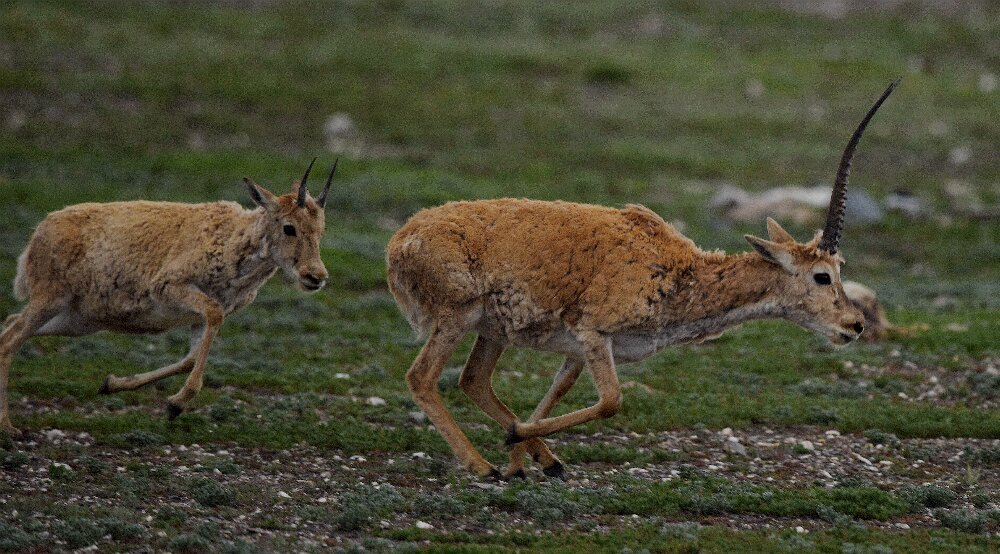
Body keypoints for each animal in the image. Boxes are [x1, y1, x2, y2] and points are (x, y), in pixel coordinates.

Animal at [0, 157, 340, 434]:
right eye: (289, 227)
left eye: (321, 230)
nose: (316, 277)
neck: (231, 240)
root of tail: (38, 233)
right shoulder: (172, 288)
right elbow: (209, 323)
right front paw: (176, 404)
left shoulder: (199, 318)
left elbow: (190, 358)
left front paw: (113, 384)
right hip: (50, 300)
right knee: (10, 340)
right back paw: (8, 427)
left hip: (76, 320)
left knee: (9, 323)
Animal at [384, 80, 900, 476]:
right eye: (822, 276)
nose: (855, 325)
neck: (679, 271)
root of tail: (400, 242)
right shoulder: (594, 333)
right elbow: (612, 400)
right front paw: (516, 444)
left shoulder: (578, 349)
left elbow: (559, 391)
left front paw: (523, 451)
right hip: (455, 317)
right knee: (421, 378)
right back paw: (481, 467)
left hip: (492, 331)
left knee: (473, 380)